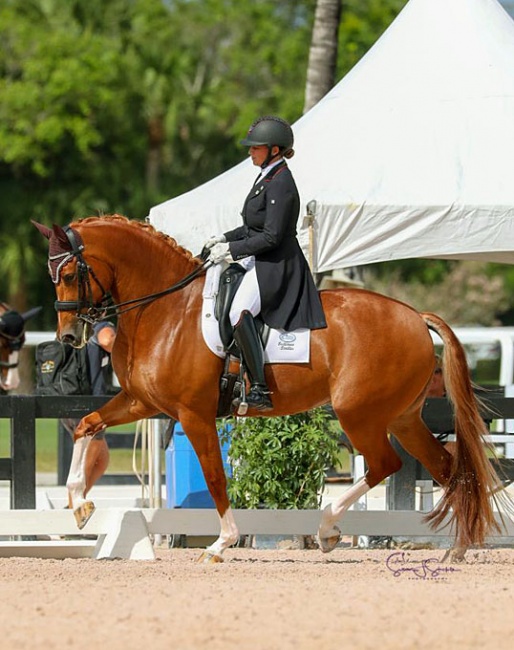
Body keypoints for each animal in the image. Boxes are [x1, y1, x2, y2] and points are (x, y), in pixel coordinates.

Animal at [34, 215, 510, 560]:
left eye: (71, 273)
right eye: (51, 275)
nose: (69, 337)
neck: (165, 309)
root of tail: (414, 316)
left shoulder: (193, 415)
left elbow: (215, 478)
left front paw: (221, 543)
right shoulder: (140, 402)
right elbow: (87, 424)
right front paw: (80, 506)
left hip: (359, 413)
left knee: (384, 464)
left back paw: (328, 530)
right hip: (402, 417)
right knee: (447, 468)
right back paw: (457, 549)